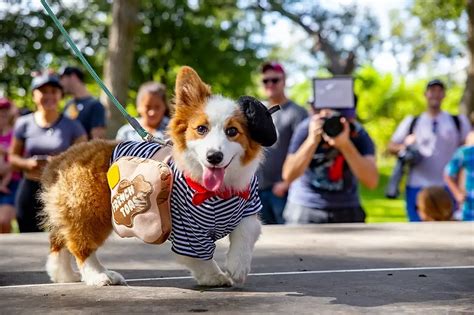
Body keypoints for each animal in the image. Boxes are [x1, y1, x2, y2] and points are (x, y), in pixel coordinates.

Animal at [41, 67, 278, 288]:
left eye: (232, 131)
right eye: (201, 129)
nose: (214, 157)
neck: (214, 193)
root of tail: (63, 158)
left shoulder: (248, 208)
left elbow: (245, 232)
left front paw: (238, 266)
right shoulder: (188, 233)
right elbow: (201, 259)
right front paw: (215, 277)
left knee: (60, 241)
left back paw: (64, 275)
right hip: (90, 211)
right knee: (81, 245)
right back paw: (99, 275)